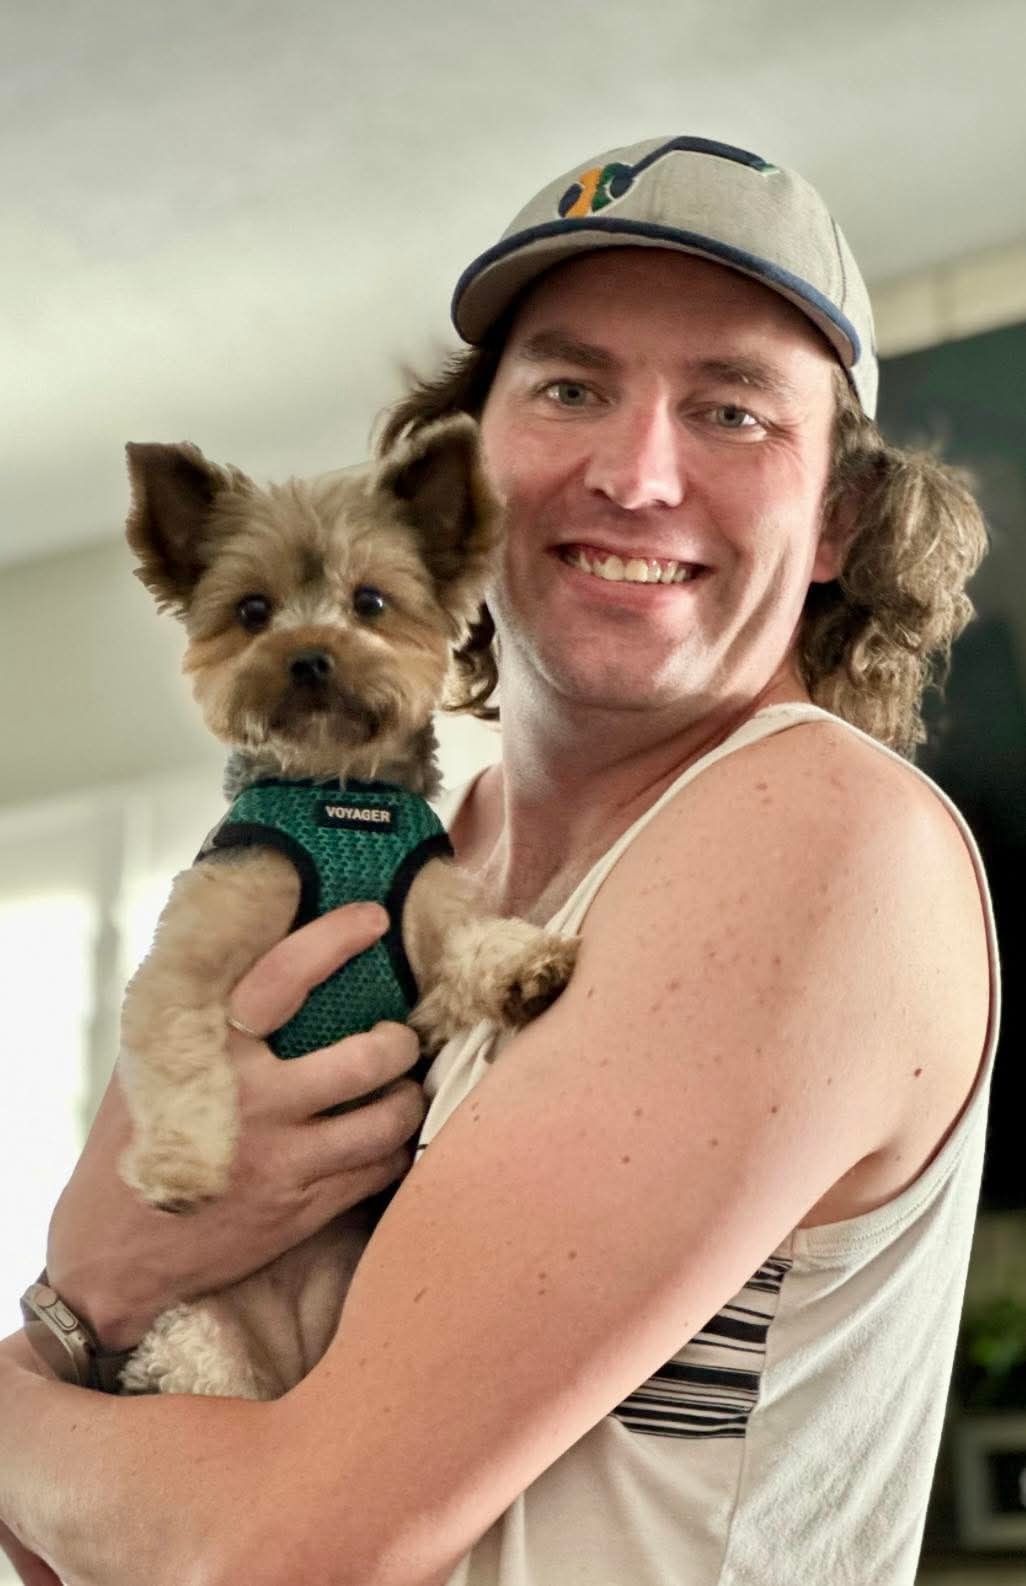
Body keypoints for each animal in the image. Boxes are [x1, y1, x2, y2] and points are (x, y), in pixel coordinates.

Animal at [115, 415, 578, 1397]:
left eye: (369, 602)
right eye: (252, 611)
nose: (309, 657)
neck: (338, 799)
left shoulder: (427, 932)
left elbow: (476, 944)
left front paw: (525, 967)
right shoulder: (187, 957)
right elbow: (180, 1049)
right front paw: (180, 1166)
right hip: (198, 1345)